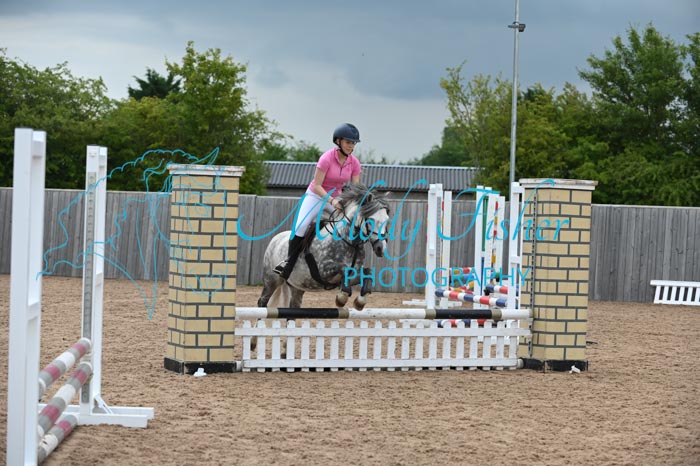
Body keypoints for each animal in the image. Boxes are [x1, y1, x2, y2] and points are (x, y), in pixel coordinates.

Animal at [257, 183, 391, 310]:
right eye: (371, 220)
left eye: (387, 220)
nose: (381, 248)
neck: (349, 243)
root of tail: (275, 239)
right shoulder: (323, 270)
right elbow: (344, 269)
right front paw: (341, 298)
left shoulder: (354, 274)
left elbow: (367, 273)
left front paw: (360, 301)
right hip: (271, 280)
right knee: (262, 302)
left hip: (297, 285)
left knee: (293, 305)